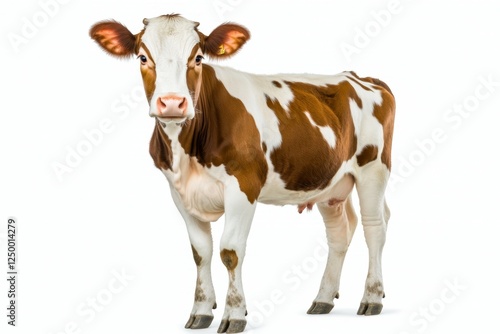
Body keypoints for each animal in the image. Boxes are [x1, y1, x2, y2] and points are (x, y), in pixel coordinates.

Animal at [89, 13, 394, 334]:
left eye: (198, 58)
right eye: (143, 57)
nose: (172, 103)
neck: (187, 154)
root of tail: (359, 77)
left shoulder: (243, 186)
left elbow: (230, 252)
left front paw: (234, 314)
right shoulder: (179, 192)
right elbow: (201, 252)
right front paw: (201, 311)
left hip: (373, 169)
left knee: (375, 228)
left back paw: (372, 298)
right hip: (330, 183)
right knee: (340, 232)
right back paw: (323, 299)